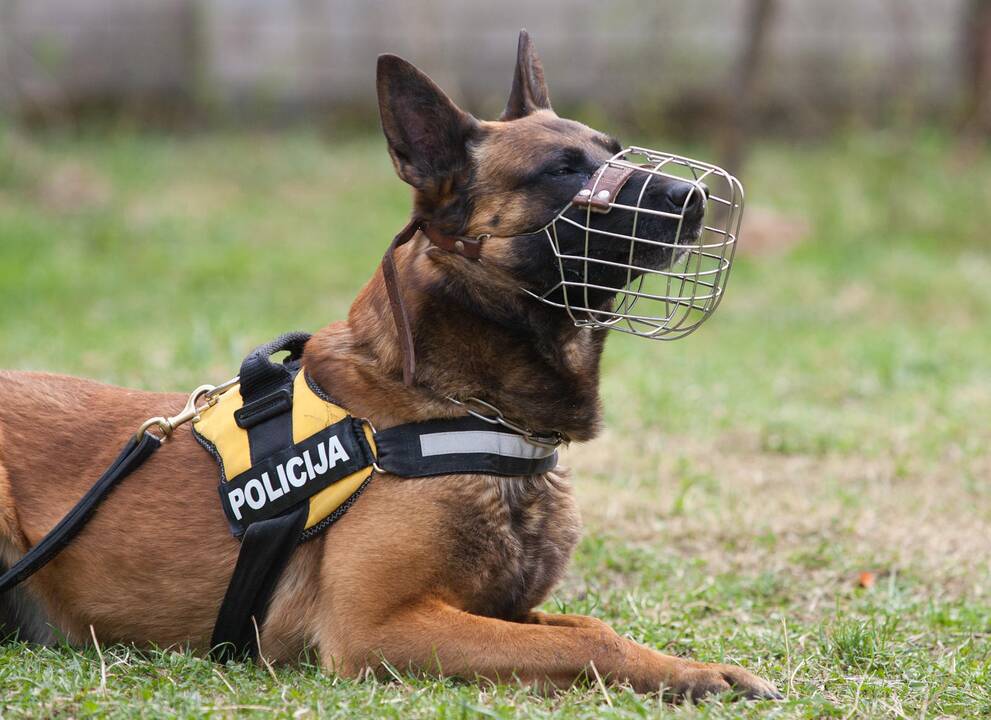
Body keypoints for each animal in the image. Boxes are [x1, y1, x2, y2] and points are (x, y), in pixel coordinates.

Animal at [1, 31, 784, 700]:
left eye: (613, 150)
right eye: (562, 171)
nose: (695, 197)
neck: (459, 403)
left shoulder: (498, 609)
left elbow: (588, 624)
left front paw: (696, 667)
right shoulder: (378, 627)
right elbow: (588, 642)